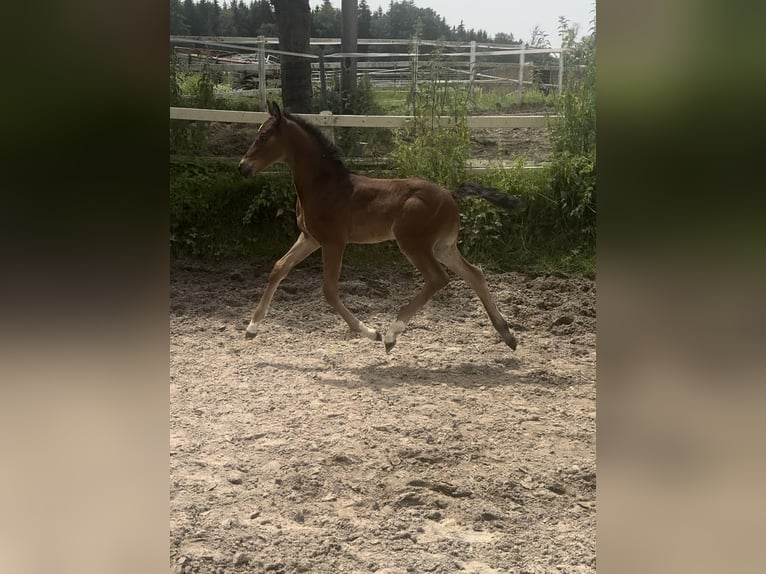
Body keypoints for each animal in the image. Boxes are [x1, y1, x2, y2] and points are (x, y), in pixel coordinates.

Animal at [240, 101, 520, 354]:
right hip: (443, 247)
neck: (324, 186)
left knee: (437, 278)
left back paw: (391, 334)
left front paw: (370, 332)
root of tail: (450, 194)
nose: (243, 167)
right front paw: (252, 328)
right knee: (475, 274)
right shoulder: (309, 238)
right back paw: (507, 334)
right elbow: (279, 268)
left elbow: (329, 290)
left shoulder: (333, 242)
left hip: (414, 244)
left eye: (263, 136)